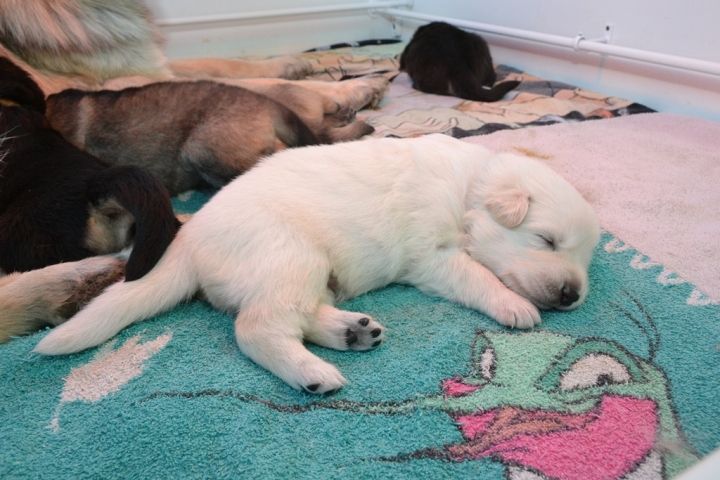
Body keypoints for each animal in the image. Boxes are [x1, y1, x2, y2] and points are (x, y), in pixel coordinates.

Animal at [34, 134, 601, 393]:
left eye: (587, 253)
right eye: (546, 239)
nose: (573, 295)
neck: (469, 189)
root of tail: (188, 240)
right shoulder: (433, 257)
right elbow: (478, 274)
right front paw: (514, 307)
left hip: (309, 271)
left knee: (296, 314)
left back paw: (352, 331)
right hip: (289, 255)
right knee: (257, 327)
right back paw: (312, 372)